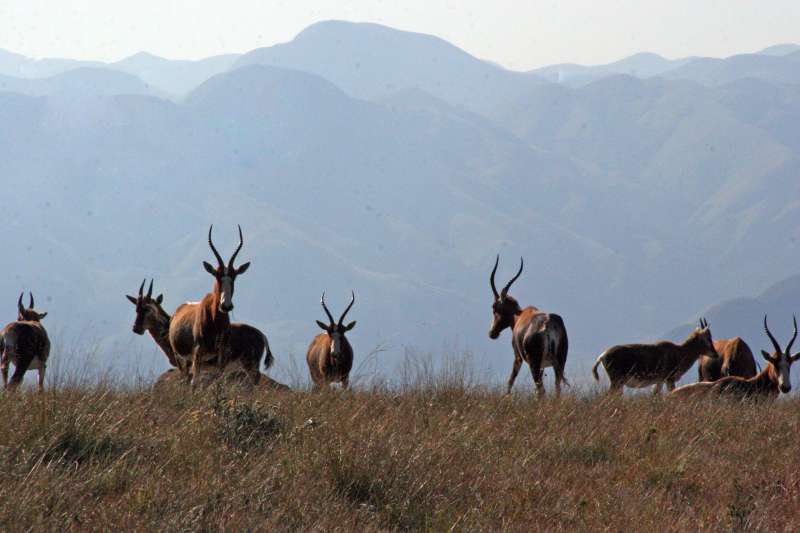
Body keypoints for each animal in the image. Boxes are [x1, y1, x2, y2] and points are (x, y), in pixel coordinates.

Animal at [127, 279, 273, 385]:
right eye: (136, 308)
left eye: (148, 308)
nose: (136, 328)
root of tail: (262, 335)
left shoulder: (187, 365)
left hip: (250, 364)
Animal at [168, 225, 250, 387]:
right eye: (217, 276)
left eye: (234, 277)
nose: (226, 306)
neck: (214, 322)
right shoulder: (198, 352)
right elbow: (194, 383)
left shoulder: (220, 355)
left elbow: (218, 382)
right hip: (181, 358)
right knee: (186, 380)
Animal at [488, 255, 569, 396]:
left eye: (494, 308)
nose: (492, 333)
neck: (519, 316)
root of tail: (548, 324)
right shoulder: (543, 366)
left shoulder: (517, 357)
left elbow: (511, 380)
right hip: (560, 361)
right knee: (556, 387)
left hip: (534, 364)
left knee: (541, 389)